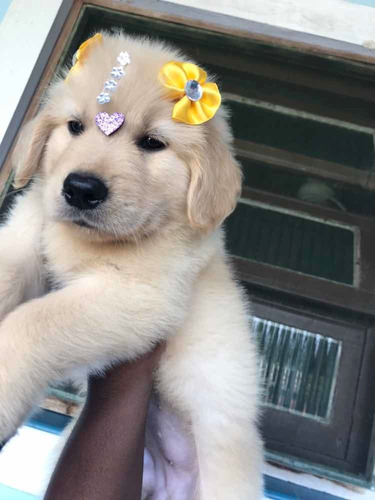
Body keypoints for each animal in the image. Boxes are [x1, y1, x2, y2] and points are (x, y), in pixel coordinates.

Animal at [0, 32, 264, 500]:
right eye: (75, 126)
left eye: (152, 143)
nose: (81, 189)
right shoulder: (26, 236)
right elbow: (8, 272)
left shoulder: (140, 297)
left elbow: (33, 324)